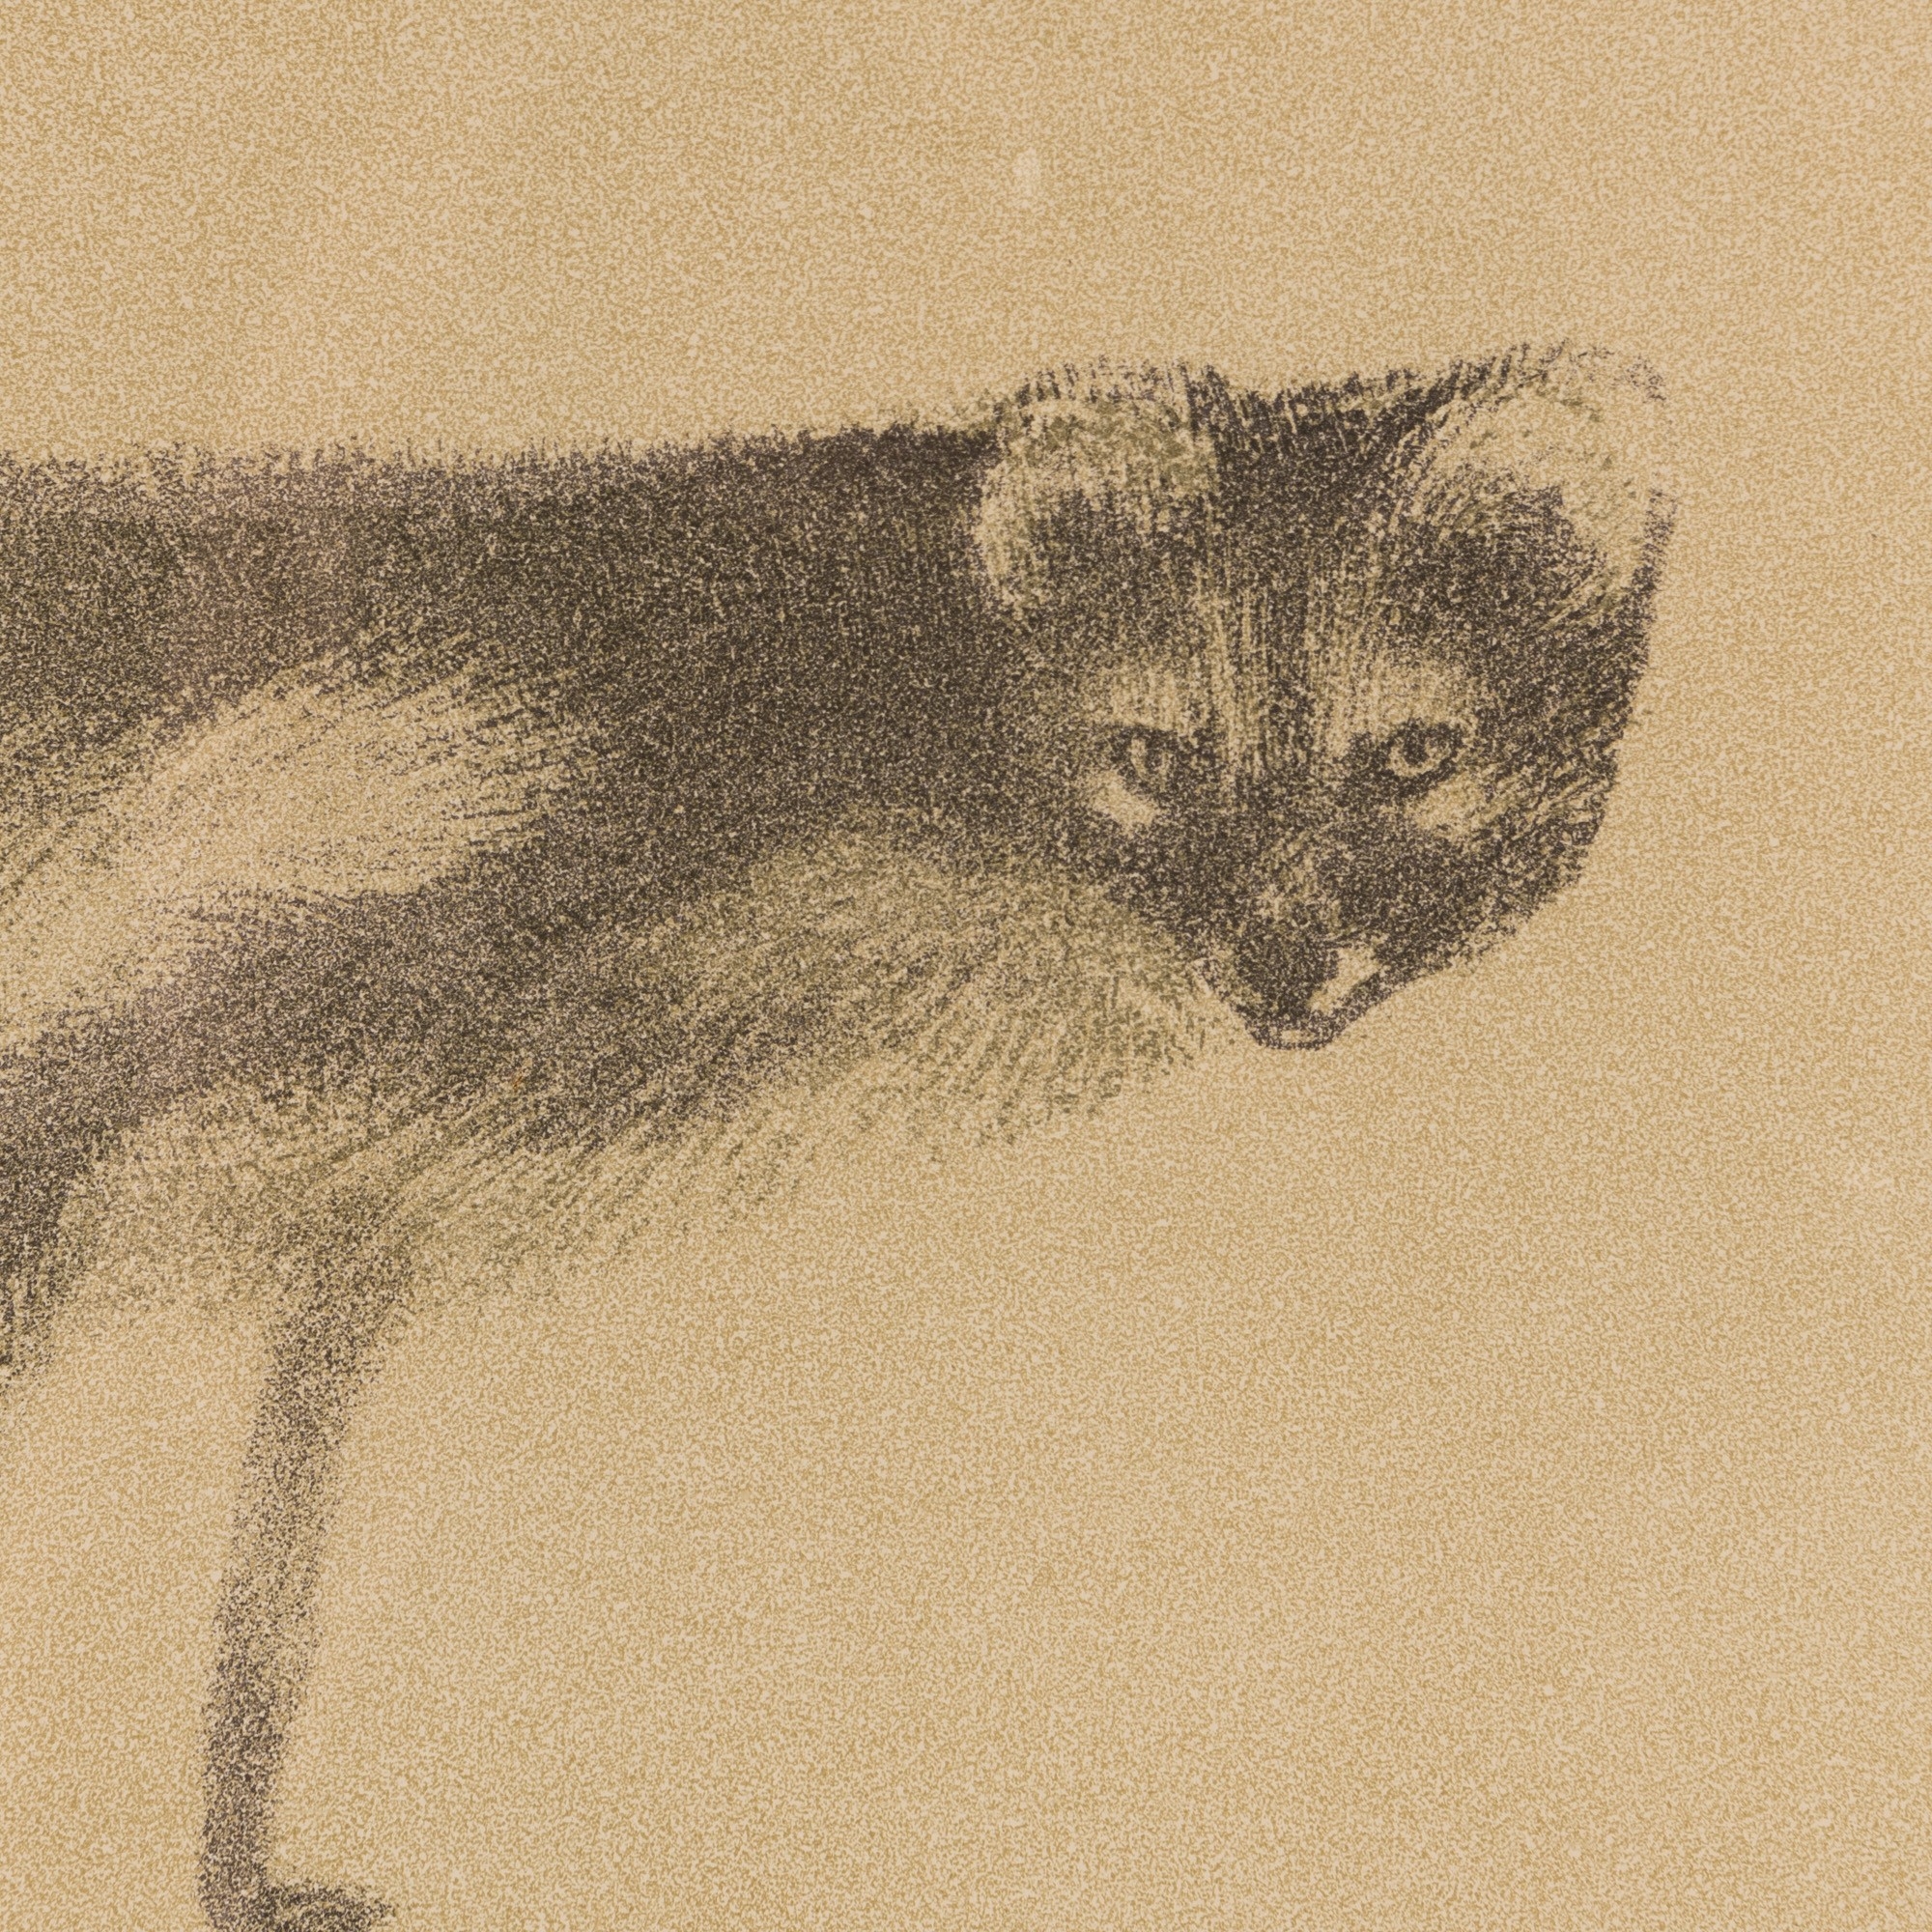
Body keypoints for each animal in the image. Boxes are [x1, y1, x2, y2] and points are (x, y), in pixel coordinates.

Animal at [0, 345, 1671, 1930]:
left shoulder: (351, 1213)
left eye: (1416, 756)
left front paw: (244, 1880)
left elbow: (269, 1597)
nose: (1284, 970)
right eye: (1156, 756)